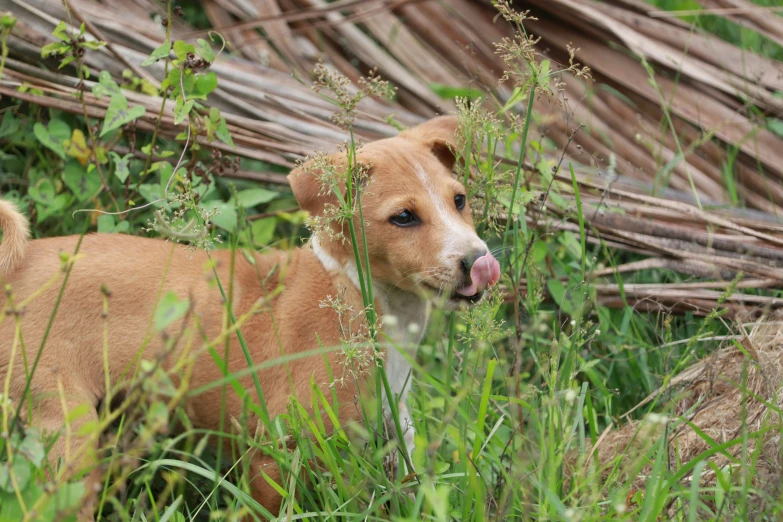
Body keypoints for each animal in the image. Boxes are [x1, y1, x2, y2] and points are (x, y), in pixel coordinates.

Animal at [0, 115, 500, 516]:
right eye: (403, 218)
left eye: (459, 201)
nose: (479, 262)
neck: (358, 297)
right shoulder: (275, 454)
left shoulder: (394, 456)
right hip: (67, 440)